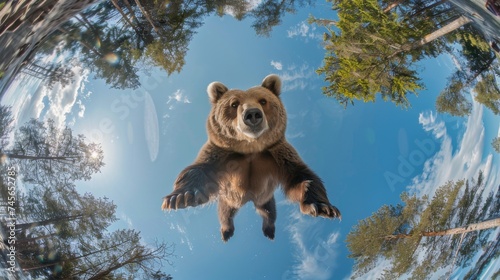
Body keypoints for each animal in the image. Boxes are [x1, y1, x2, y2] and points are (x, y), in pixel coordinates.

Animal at [162, 75, 342, 243]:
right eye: (234, 104)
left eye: (263, 100)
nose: (253, 114)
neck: (250, 148)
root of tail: (248, 199)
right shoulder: (222, 154)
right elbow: (199, 170)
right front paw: (181, 197)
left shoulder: (276, 154)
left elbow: (300, 175)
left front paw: (323, 207)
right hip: (229, 199)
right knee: (225, 213)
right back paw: (226, 231)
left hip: (265, 198)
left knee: (269, 212)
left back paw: (269, 230)